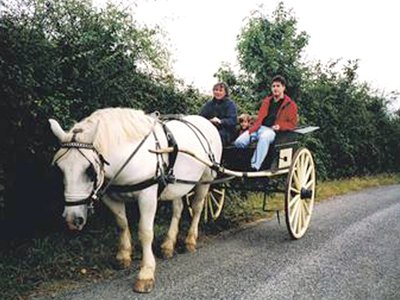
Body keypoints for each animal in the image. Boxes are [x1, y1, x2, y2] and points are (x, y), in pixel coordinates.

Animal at [48, 108, 223, 292]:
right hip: (179, 184)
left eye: (89, 170)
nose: (72, 219)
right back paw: (168, 245)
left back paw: (190, 240)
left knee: (197, 208)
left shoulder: (147, 196)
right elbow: (122, 224)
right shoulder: (111, 197)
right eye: (59, 169)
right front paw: (123, 256)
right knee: (177, 208)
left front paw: (146, 273)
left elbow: (145, 232)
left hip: (205, 180)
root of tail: (206, 121)